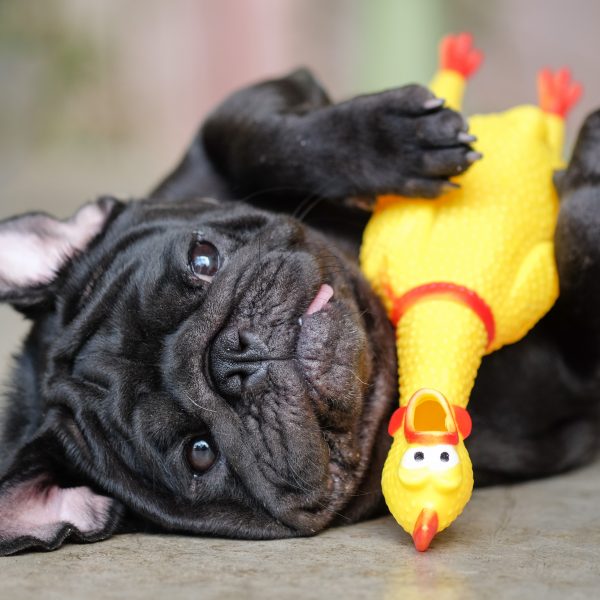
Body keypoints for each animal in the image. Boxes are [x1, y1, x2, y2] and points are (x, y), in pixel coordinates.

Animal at [1, 69, 600, 552]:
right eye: (200, 453)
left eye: (203, 258)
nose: (235, 356)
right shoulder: (567, 383)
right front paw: (586, 186)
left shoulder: (222, 136)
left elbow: (251, 133)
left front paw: (397, 136)